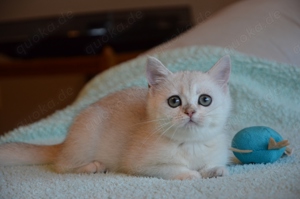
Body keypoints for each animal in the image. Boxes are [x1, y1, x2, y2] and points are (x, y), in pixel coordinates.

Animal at [0, 55, 232, 180]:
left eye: (205, 100)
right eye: (174, 101)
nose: (190, 111)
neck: (190, 145)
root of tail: (64, 143)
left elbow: (213, 164)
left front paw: (214, 170)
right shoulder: (139, 164)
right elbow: (169, 168)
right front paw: (189, 173)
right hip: (86, 138)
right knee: (61, 166)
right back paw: (93, 167)